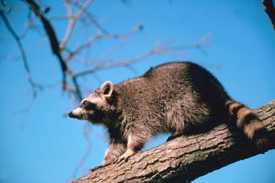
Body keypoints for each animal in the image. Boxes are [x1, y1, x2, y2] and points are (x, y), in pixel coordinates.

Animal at [68, 61, 268, 164]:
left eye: (85, 103)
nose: (70, 114)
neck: (114, 105)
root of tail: (215, 87)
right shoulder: (115, 125)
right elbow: (116, 143)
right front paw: (106, 160)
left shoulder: (136, 112)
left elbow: (138, 133)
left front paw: (131, 149)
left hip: (187, 96)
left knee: (184, 112)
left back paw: (184, 128)